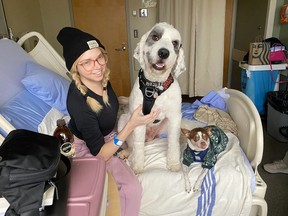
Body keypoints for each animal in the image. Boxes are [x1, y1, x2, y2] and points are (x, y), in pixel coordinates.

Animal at [117, 22, 187, 174]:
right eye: (155, 37)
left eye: (174, 43)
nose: (164, 52)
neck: (155, 87)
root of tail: (149, 138)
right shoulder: (138, 120)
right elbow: (138, 145)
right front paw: (137, 167)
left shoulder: (175, 117)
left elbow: (173, 143)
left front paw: (173, 163)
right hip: (123, 121)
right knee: (132, 145)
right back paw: (126, 152)